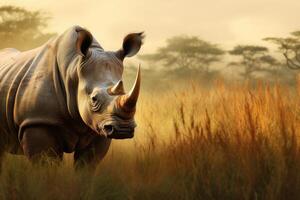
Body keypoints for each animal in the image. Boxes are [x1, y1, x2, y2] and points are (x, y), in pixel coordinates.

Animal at [0, 25, 144, 169]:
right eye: (94, 99)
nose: (124, 129)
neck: (73, 69)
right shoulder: (37, 121)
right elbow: (46, 164)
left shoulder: (98, 127)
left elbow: (87, 164)